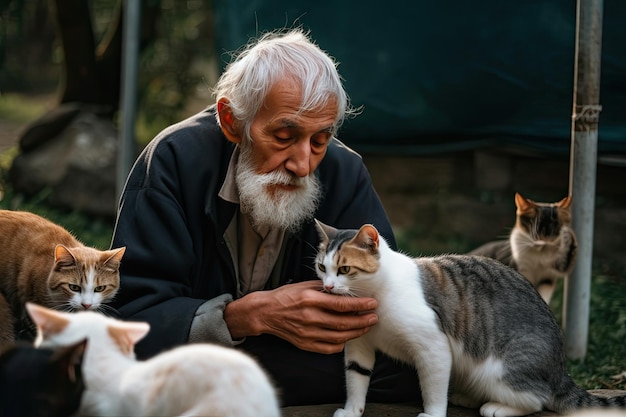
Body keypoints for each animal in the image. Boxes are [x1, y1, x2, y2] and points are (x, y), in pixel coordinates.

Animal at [314, 219, 620, 414]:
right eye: (321, 267)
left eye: (344, 269)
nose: (327, 287)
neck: (378, 293)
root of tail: (561, 371)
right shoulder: (359, 345)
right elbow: (356, 376)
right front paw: (351, 411)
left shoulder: (434, 347)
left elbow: (433, 388)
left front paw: (432, 414)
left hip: (502, 370)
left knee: (536, 400)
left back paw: (496, 407)